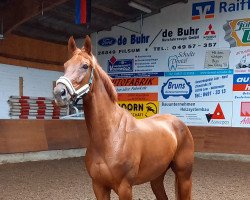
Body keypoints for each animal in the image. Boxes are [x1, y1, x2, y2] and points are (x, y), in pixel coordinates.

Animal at [54, 36, 195, 200]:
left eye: (85, 66)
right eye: (65, 65)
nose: (59, 93)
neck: (110, 136)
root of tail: (179, 123)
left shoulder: (125, 188)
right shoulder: (99, 186)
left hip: (184, 176)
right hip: (157, 177)